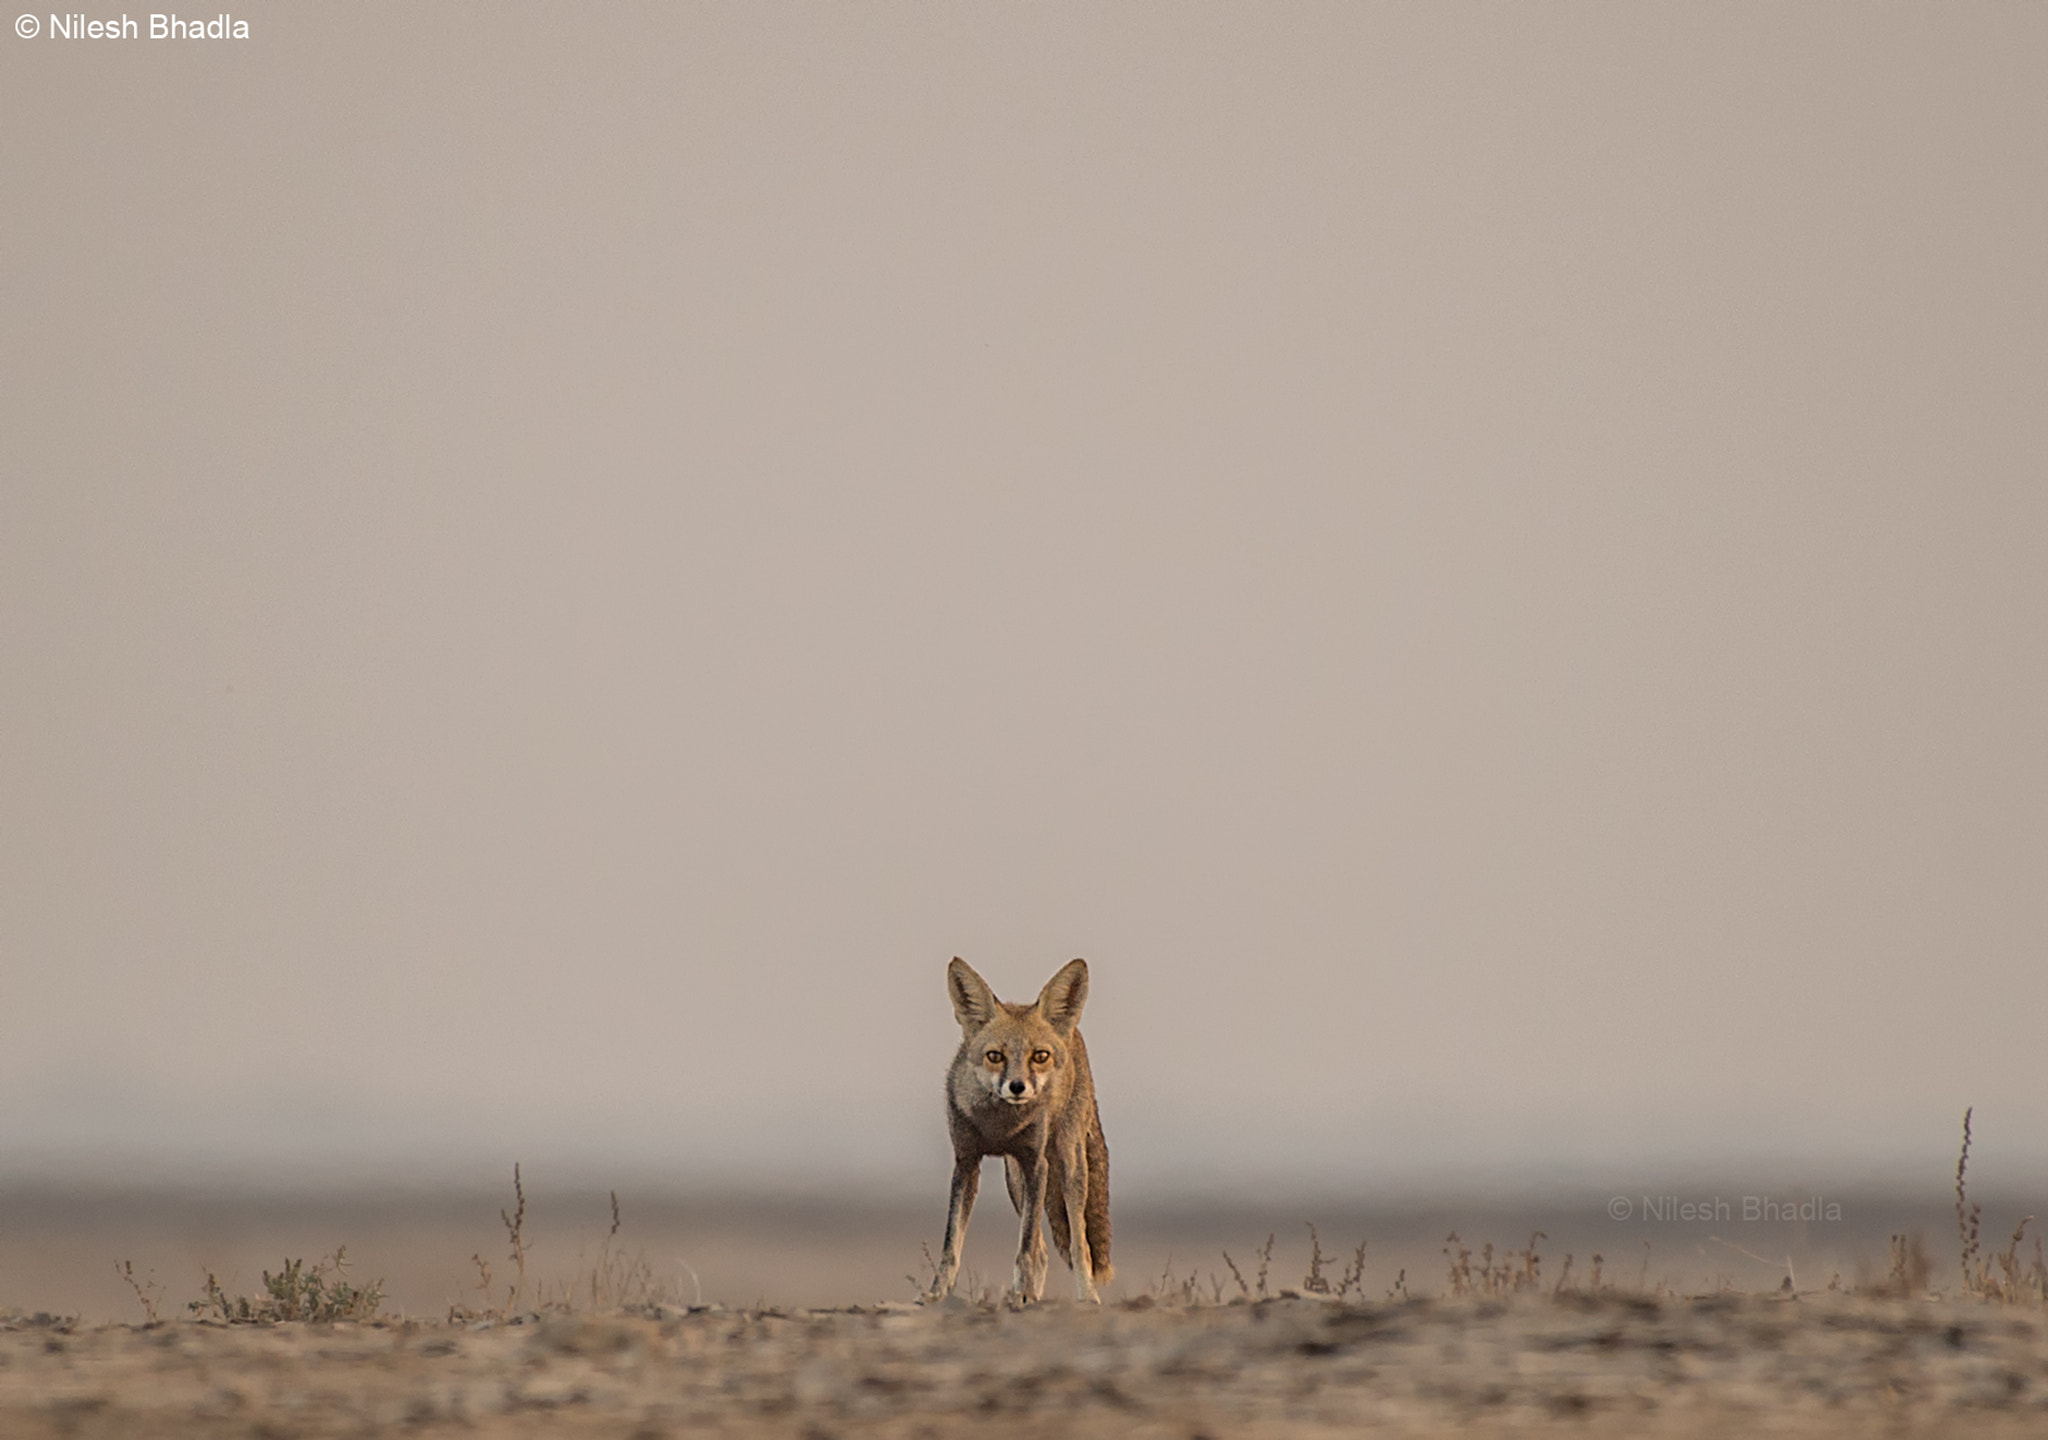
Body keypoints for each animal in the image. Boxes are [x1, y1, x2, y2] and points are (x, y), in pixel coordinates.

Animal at [930, 956, 1112, 1304]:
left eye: (1039, 1056)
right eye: (995, 1056)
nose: (1017, 1087)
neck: (999, 1126)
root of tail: (1072, 1031)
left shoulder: (1036, 1164)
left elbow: (1025, 1248)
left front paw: (1021, 1297)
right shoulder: (966, 1163)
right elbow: (950, 1245)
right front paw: (935, 1295)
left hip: (1068, 1166)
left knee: (1078, 1245)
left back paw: (1087, 1299)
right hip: (1014, 1180)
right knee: (1043, 1251)